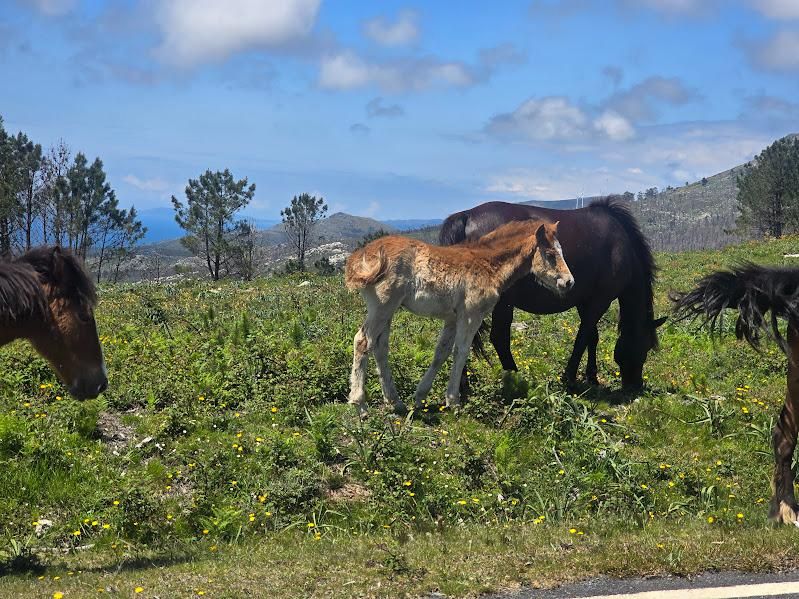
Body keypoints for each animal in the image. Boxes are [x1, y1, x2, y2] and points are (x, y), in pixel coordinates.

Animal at [344, 220, 576, 418]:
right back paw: (360, 405)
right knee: (362, 341)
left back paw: (395, 402)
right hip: (382, 306)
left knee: (380, 347)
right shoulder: (471, 315)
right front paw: (453, 401)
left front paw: (420, 397)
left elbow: (441, 353)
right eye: (550, 254)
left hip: (388, 310)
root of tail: (361, 255)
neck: (489, 264)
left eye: (562, 251)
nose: (569, 282)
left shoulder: (452, 319)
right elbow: (461, 351)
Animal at [440, 197, 664, 390]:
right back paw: (516, 379)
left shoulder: (585, 301)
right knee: (499, 338)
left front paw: (591, 376)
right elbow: (583, 337)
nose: (635, 385)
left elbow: (592, 337)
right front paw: (570, 377)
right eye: (645, 347)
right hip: (502, 302)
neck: (622, 246)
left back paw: (462, 386)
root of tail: (467, 215)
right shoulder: (600, 300)